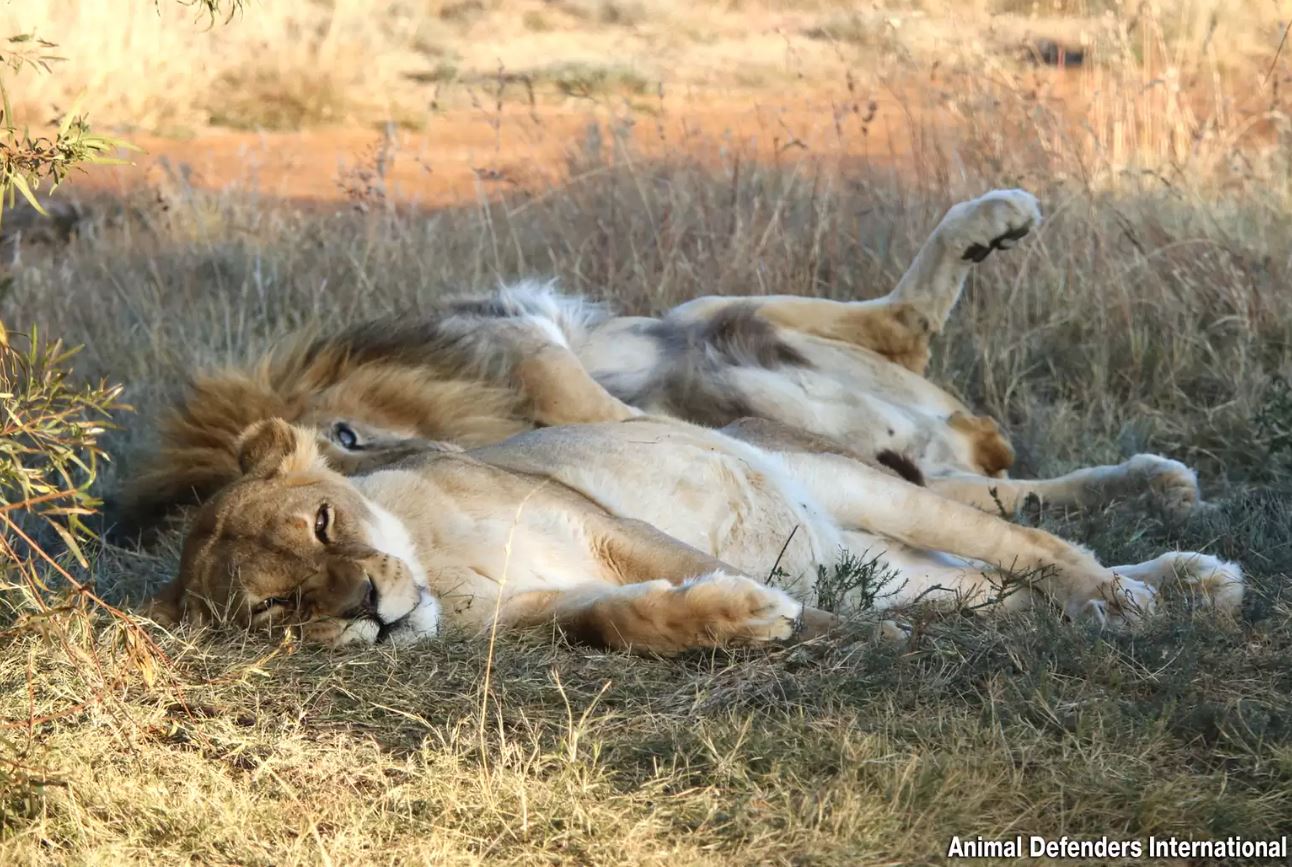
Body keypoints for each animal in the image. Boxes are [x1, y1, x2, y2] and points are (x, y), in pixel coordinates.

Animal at [121, 188, 1198, 534]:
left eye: (345, 436)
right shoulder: (583, 386)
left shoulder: (594, 334)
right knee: (977, 471)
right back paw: (1149, 480)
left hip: (709, 313)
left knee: (900, 329)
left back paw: (992, 223)